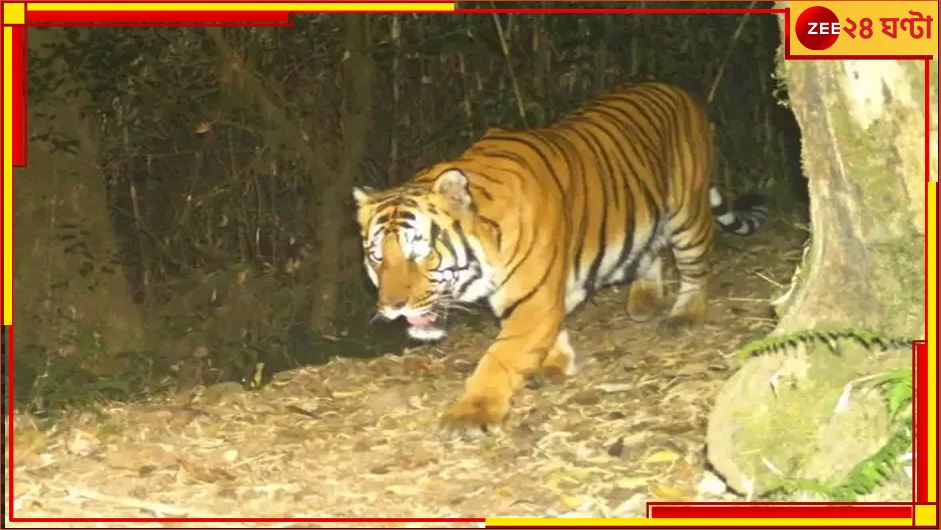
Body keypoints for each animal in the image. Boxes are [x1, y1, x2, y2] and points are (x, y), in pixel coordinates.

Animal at [352, 81, 767, 429]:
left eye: (421, 252)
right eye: (377, 257)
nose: (392, 307)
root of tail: (678, 89)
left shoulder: (533, 298)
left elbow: (502, 355)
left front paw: (472, 413)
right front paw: (556, 363)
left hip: (687, 212)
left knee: (696, 266)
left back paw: (684, 315)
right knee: (651, 250)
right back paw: (644, 300)